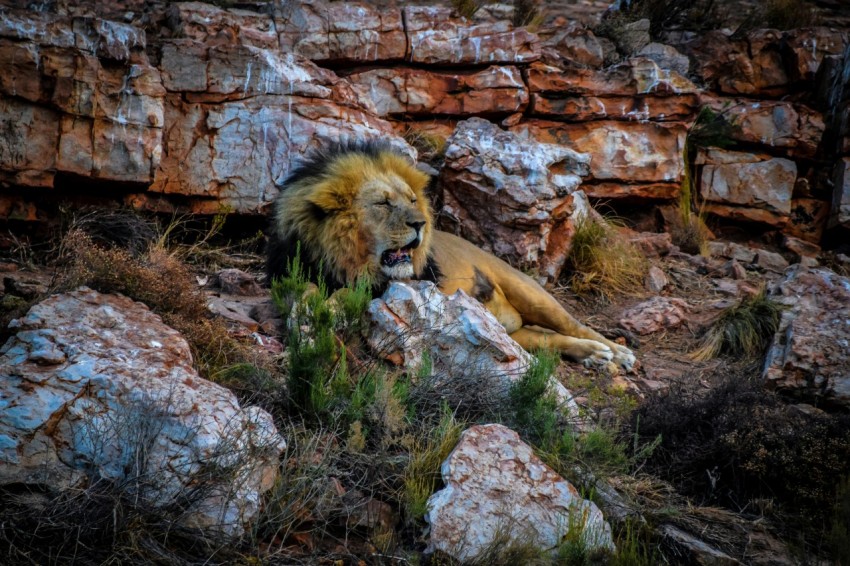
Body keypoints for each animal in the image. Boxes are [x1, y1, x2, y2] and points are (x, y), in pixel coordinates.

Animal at [267, 143, 635, 371]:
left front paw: (326, 314)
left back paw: (614, 352)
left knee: (576, 325)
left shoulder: (402, 284)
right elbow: (305, 296)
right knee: (548, 339)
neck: (339, 259)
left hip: (530, 292)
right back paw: (593, 356)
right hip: (512, 334)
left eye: (412, 200)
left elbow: (346, 295)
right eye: (383, 203)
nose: (420, 223)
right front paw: (307, 323)